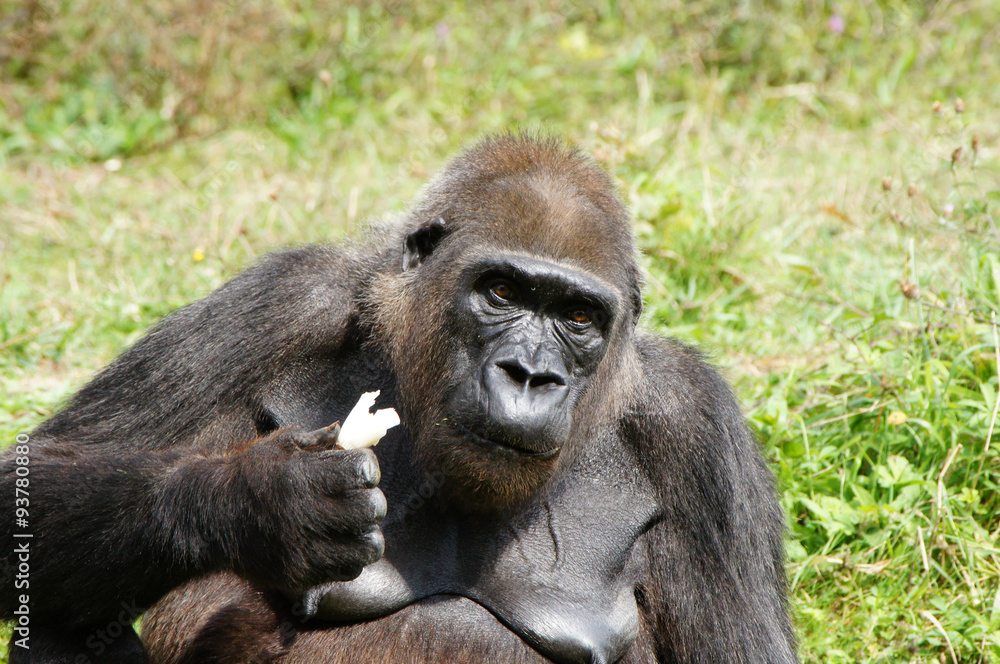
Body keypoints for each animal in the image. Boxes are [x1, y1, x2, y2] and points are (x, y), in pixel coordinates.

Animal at [0, 136, 796, 664]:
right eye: (500, 292)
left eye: (578, 318)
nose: (529, 376)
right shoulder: (282, 301)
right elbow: (32, 478)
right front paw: (262, 500)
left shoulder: (697, 428)